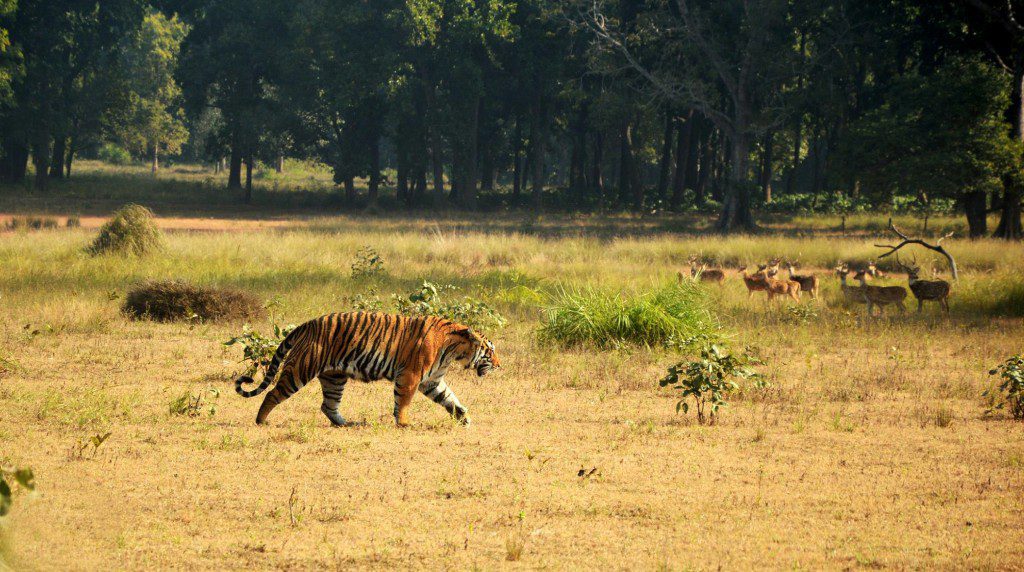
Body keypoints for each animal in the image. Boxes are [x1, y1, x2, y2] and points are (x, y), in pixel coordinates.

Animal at [235, 311, 499, 427]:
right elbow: (403, 401)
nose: (499, 365)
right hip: (301, 369)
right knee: (272, 393)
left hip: (334, 377)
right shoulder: (411, 376)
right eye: (490, 350)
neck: (454, 349)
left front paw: (463, 417)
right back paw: (261, 421)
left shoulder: (431, 380)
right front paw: (404, 423)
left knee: (328, 405)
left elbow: (449, 398)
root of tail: (307, 324)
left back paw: (346, 423)